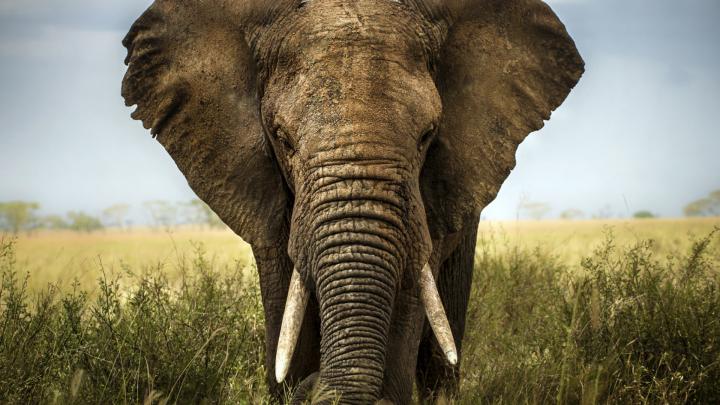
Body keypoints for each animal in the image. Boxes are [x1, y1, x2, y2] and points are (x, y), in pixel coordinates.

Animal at [121, 0, 583, 403]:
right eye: (282, 138)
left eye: (427, 135)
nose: (316, 385)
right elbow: (284, 297)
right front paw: (292, 382)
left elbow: (410, 293)